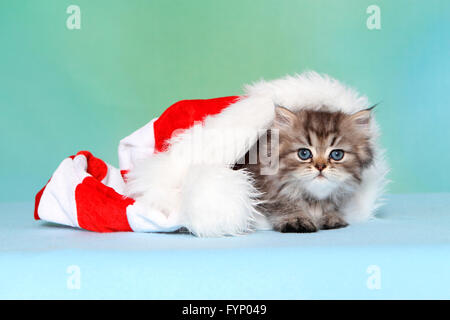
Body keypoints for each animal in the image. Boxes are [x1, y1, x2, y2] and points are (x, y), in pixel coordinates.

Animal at [237, 106, 374, 234]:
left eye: (337, 154)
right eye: (304, 153)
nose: (320, 166)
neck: (313, 200)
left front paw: (330, 216)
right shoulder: (263, 187)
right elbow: (283, 203)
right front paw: (296, 219)